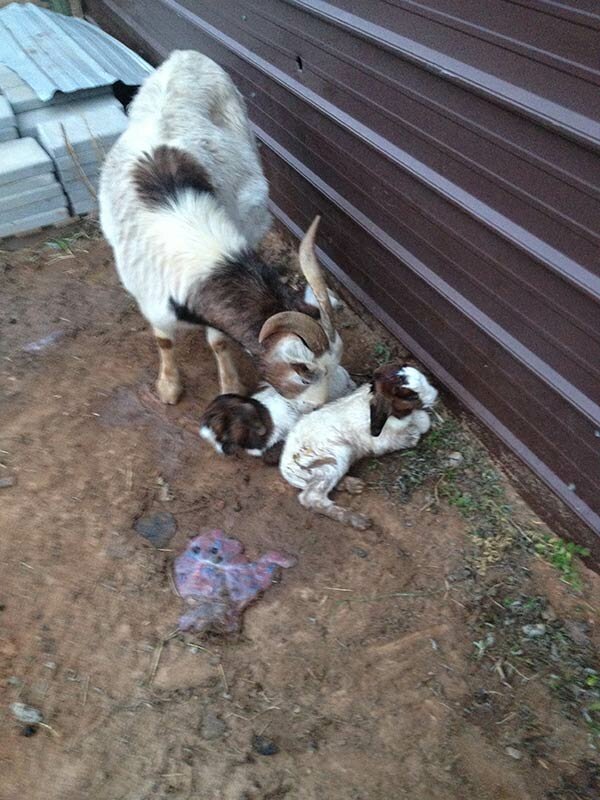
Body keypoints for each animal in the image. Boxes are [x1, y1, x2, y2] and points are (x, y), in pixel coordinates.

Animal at [99, 50, 340, 406]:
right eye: (303, 371)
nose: (318, 405)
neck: (187, 233)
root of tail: (185, 56)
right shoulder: (152, 301)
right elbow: (164, 342)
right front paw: (168, 386)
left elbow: (219, 341)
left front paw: (229, 386)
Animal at [279, 363, 438, 529]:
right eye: (411, 396)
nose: (435, 395)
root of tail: (286, 470)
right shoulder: (384, 440)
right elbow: (416, 432)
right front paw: (414, 432)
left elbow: (423, 420)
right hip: (336, 457)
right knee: (312, 498)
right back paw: (358, 520)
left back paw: (353, 485)